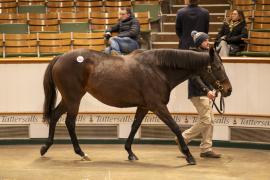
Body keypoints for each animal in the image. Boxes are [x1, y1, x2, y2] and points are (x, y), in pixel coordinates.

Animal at [40, 47, 232, 165]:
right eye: (217, 67)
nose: (228, 90)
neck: (158, 69)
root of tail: (60, 57)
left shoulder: (144, 106)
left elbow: (134, 126)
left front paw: (130, 152)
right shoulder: (158, 106)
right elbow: (175, 127)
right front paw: (189, 156)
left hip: (69, 99)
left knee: (55, 116)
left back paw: (45, 147)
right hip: (73, 98)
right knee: (69, 123)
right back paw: (81, 152)